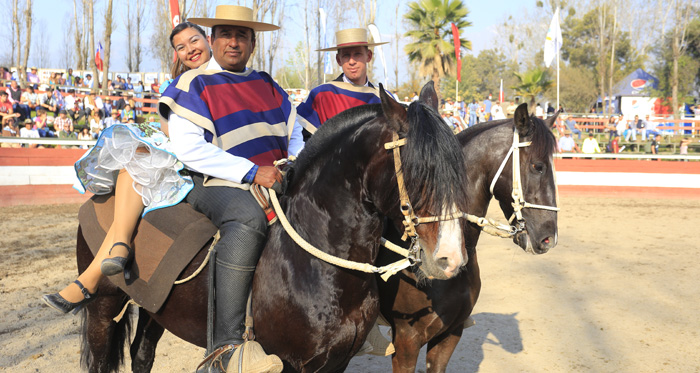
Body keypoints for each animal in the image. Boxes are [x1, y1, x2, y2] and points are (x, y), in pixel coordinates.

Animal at [75, 82, 470, 372]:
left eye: (458, 167)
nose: (451, 259)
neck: (313, 261)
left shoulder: (336, 363)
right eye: (419, 171)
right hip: (103, 308)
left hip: (154, 309)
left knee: (142, 355)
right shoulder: (294, 365)